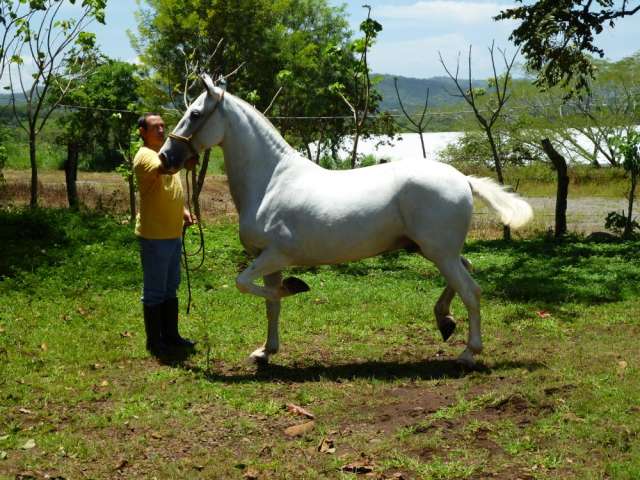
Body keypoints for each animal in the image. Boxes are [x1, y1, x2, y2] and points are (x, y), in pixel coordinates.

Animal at [160, 74, 536, 368]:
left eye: (194, 114)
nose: (166, 157)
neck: (270, 181)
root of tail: (463, 179)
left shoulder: (276, 255)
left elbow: (247, 286)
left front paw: (295, 287)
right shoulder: (267, 261)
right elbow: (269, 304)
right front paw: (265, 351)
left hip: (438, 252)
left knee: (472, 291)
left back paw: (468, 352)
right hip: (434, 250)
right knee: (467, 269)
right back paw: (444, 320)